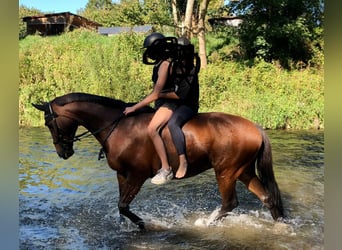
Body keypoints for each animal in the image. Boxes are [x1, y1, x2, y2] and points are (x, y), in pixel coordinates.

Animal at [32, 92, 284, 229]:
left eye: (48, 122)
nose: (63, 152)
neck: (118, 126)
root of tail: (256, 128)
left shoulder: (137, 175)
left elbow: (123, 206)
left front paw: (144, 224)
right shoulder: (122, 175)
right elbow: (121, 208)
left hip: (226, 172)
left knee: (230, 203)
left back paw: (206, 224)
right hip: (243, 170)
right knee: (267, 198)